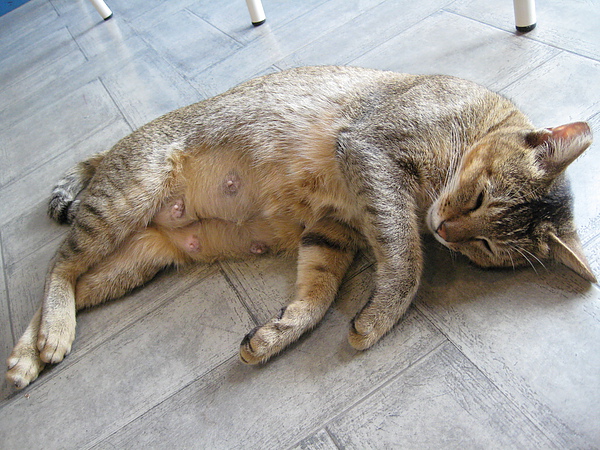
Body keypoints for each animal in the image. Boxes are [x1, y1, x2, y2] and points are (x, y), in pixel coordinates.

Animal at [5, 65, 596, 388]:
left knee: (72, 282)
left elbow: (316, 294)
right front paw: (381, 317)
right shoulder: (371, 151)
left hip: (136, 260)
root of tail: (107, 154)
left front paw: (279, 332)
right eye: (477, 197)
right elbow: (407, 259)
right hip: (123, 201)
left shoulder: (332, 229)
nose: (448, 232)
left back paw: (28, 353)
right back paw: (52, 335)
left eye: (486, 247)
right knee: (58, 264)